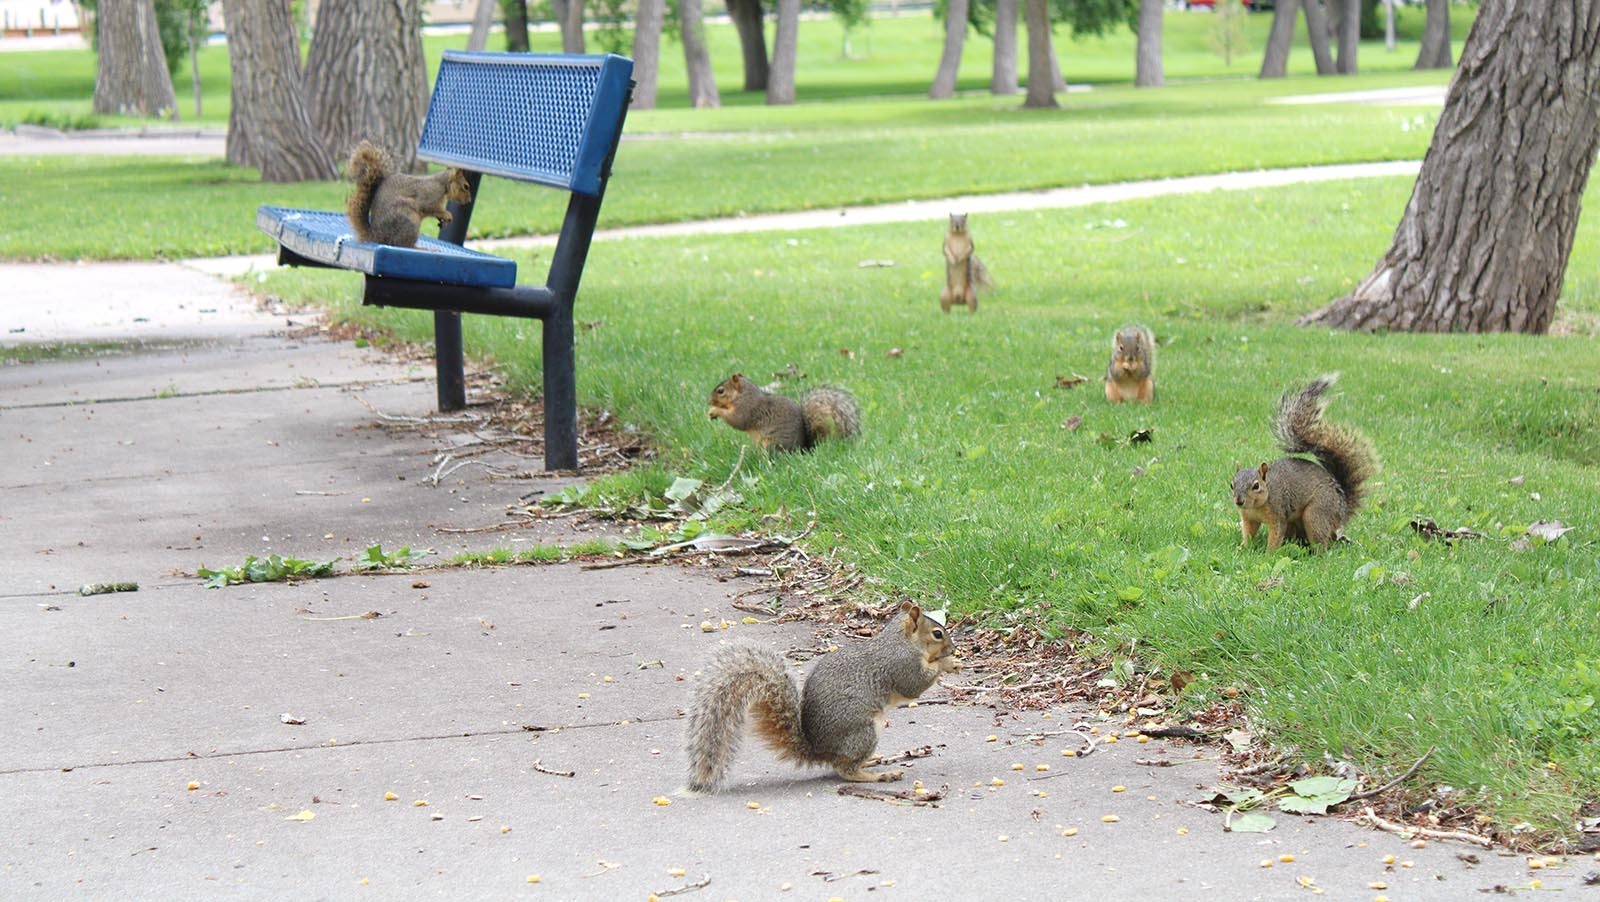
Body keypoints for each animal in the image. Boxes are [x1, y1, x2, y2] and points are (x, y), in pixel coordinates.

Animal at [345, 140, 473, 248]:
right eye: (466, 186)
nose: (469, 200)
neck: (443, 185)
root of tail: (376, 236)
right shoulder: (429, 195)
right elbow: (429, 207)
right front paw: (448, 215)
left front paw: (443, 220)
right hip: (410, 219)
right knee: (402, 244)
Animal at [683, 601, 961, 794]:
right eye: (937, 634)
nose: (954, 648)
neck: (901, 641)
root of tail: (819, 751)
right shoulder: (902, 666)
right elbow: (915, 685)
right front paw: (948, 663)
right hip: (864, 730)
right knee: (845, 769)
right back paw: (878, 775)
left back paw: (871, 763)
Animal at [707, 373, 861, 452]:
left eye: (720, 391)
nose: (709, 401)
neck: (742, 395)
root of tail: (803, 449)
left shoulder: (747, 409)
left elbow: (737, 421)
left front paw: (715, 411)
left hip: (771, 443)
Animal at [1232, 373, 1379, 552]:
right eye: (1232, 485)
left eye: (1256, 486)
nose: (1239, 501)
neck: (1256, 506)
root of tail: (1342, 507)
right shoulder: (1248, 518)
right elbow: (1249, 532)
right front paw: (1242, 548)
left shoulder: (1278, 514)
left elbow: (1276, 533)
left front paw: (1269, 553)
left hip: (1317, 513)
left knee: (1323, 542)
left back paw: (1315, 552)